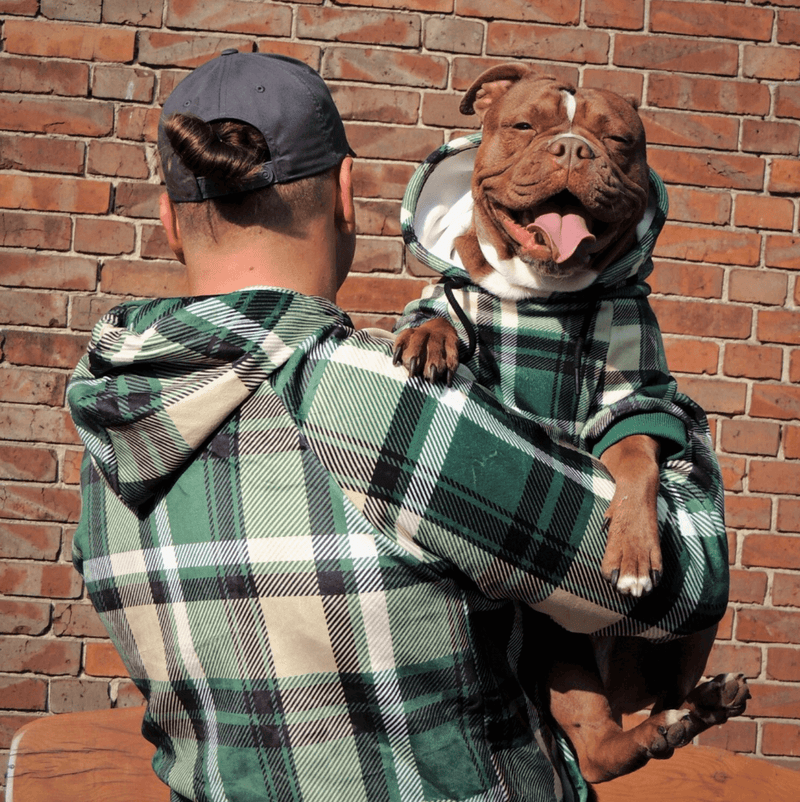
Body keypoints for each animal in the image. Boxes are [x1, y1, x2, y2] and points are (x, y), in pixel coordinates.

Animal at [390, 65, 748, 784]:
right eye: (526, 124)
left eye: (618, 141)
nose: (574, 149)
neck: (540, 297)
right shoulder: (456, 293)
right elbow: (436, 306)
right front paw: (429, 336)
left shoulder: (634, 392)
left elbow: (636, 459)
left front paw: (636, 550)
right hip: (562, 649)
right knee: (600, 748)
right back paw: (673, 722)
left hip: (680, 633)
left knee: (629, 724)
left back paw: (695, 707)